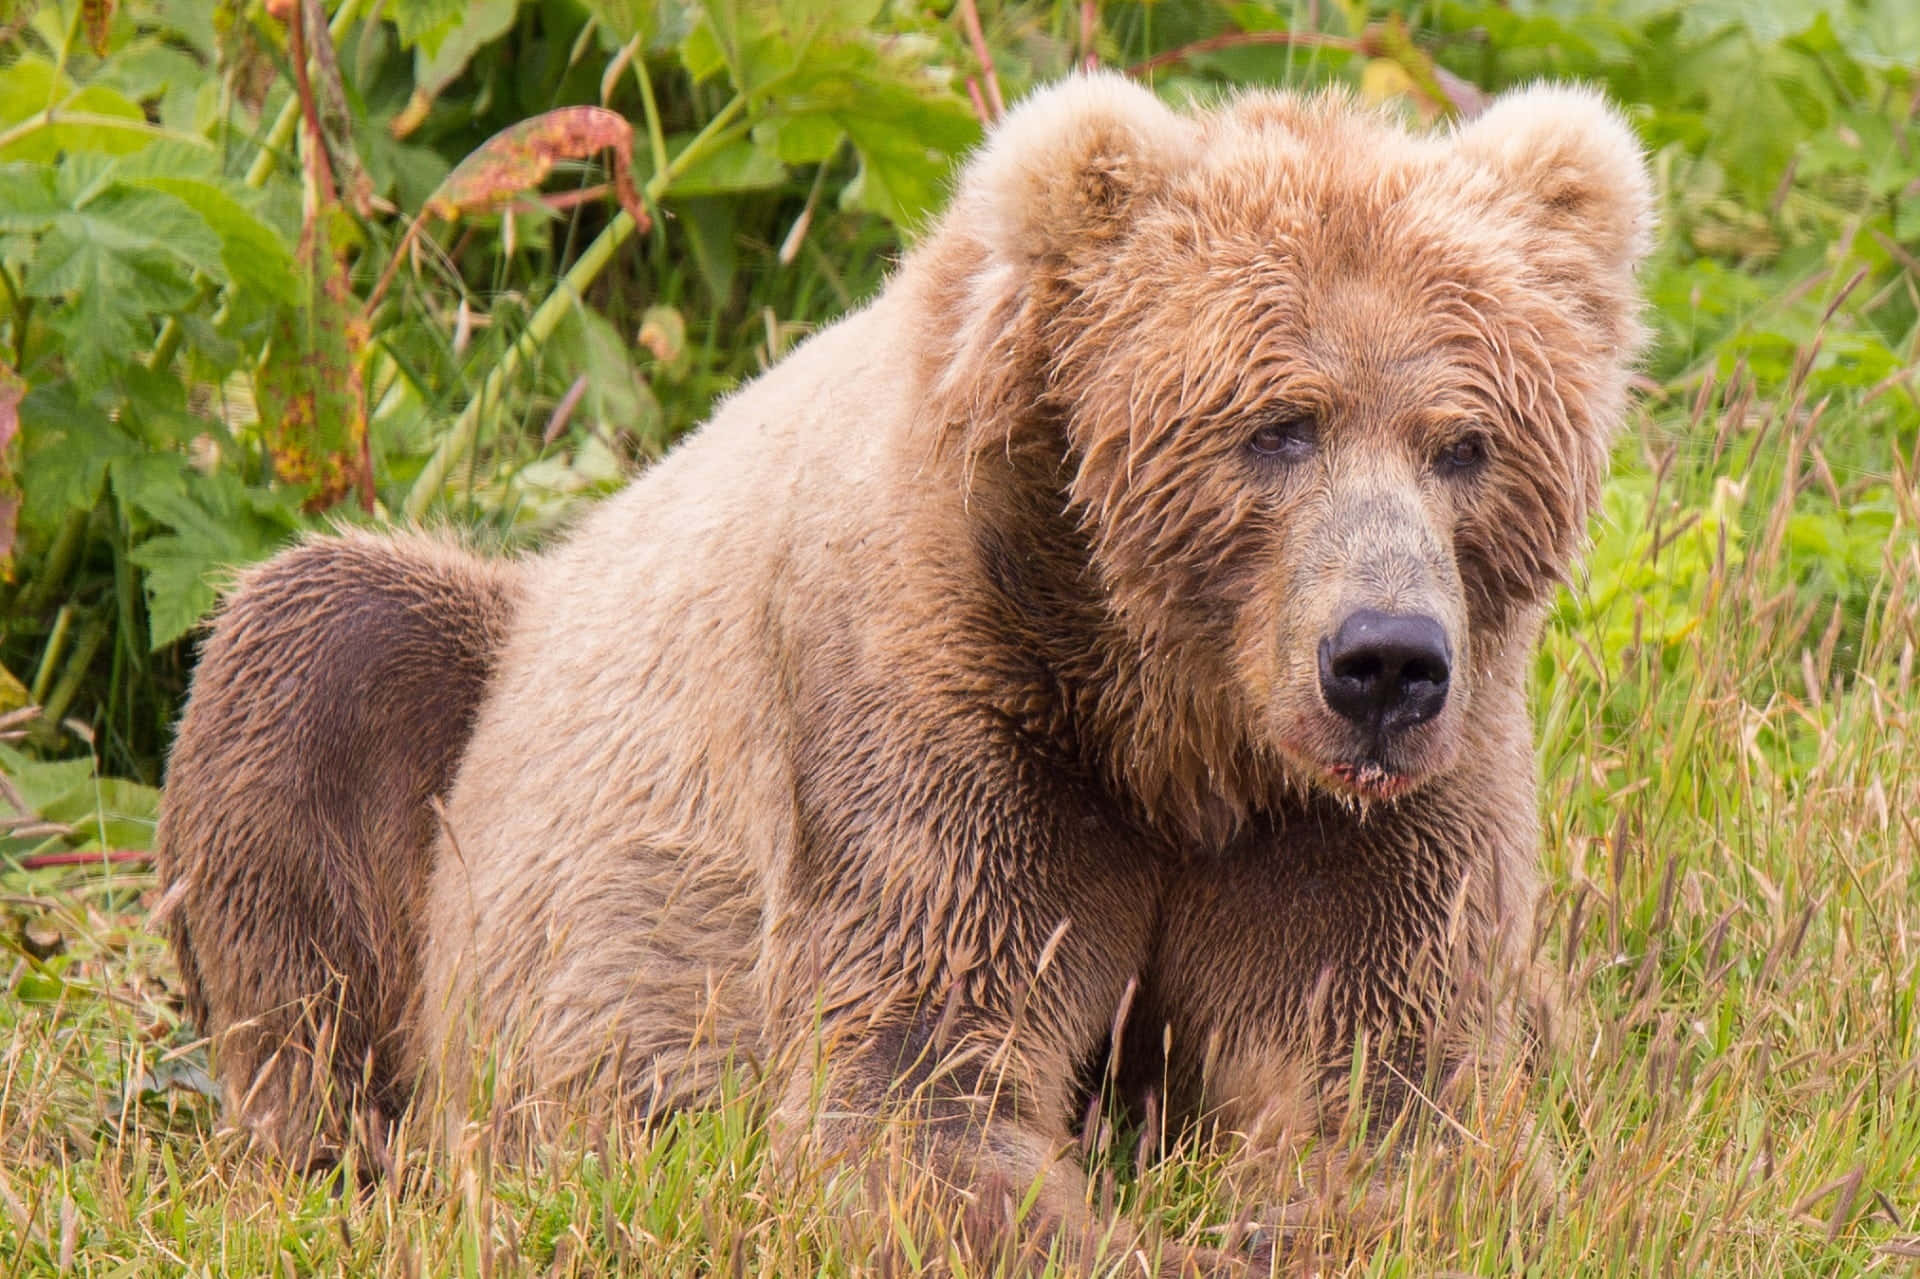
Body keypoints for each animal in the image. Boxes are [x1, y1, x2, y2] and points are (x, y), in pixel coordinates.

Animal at [156, 73, 1651, 1272]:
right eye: (1277, 426)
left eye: (1465, 441)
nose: (1384, 661)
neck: (1170, 728)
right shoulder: (940, 711)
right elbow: (913, 1092)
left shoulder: (1370, 820)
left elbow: (1399, 1086)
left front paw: (1296, 1214)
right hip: (468, 712)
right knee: (313, 656)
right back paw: (354, 1151)